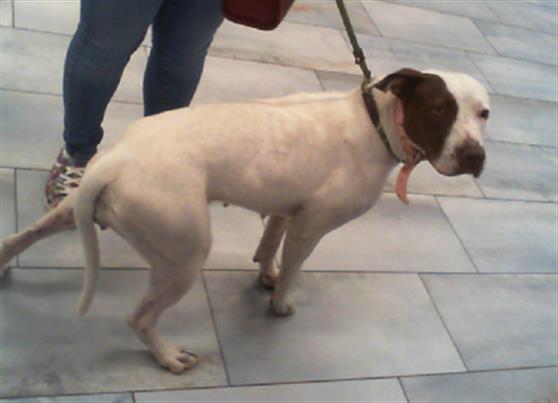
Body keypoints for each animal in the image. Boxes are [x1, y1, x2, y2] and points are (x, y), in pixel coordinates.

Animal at [0, 68, 490, 374]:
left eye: (484, 113)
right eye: (440, 110)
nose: (475, 155)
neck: (376, 122)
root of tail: (119, 160)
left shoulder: (285, 210)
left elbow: (269, 246)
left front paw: (265, 274)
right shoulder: (310, 227)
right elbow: (292, 270)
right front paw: (279, 304)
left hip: (77, 210)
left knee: (19, 237)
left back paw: (4, 265)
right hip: (183, 256)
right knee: (139, 318)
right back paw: (168, 357)